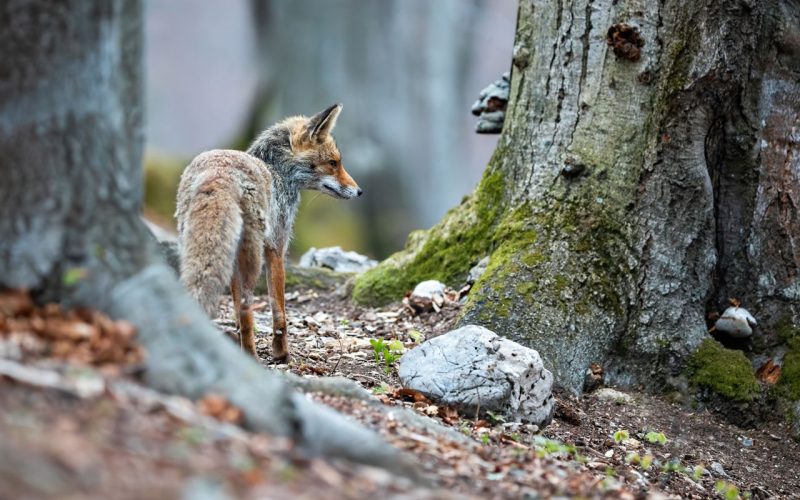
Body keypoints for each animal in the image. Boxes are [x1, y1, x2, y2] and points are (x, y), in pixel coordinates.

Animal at [175, 104, 361, 361]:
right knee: (246, 309)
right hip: (251, 258)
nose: (359, 191)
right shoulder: (276, 248)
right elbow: (279, 311)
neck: (278, 173)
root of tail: (218, 175)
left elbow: (238, 315)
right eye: (333, 163)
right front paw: (281, 352)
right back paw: (252, 357)